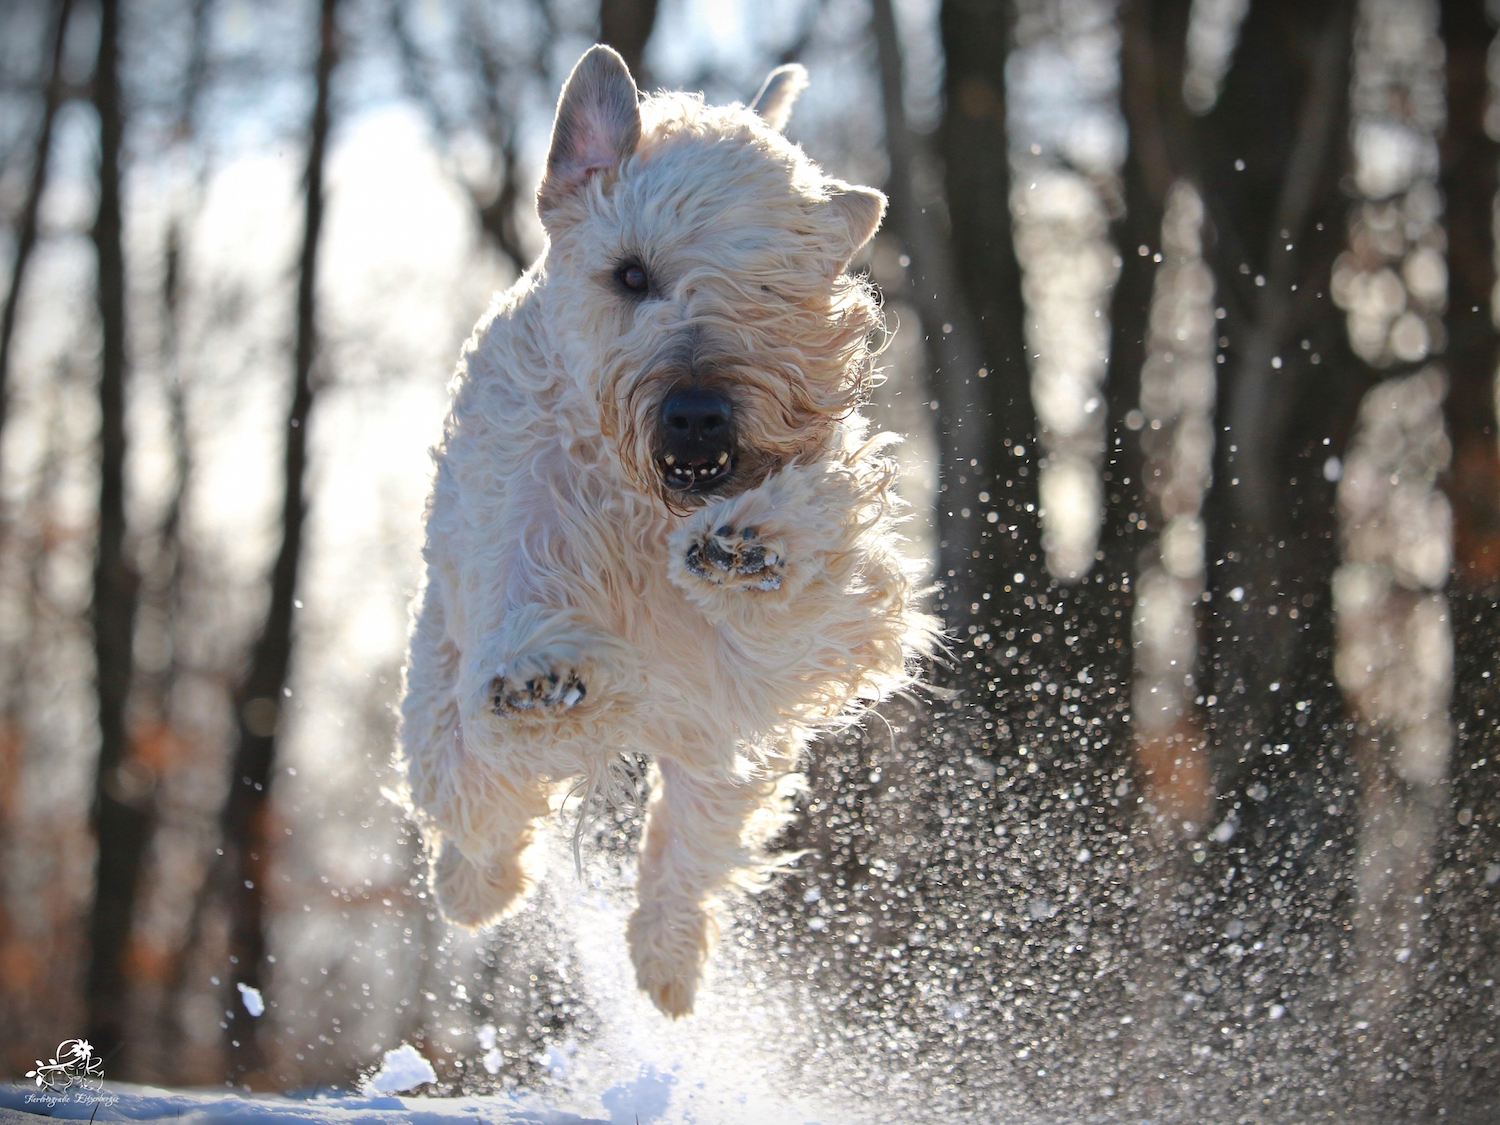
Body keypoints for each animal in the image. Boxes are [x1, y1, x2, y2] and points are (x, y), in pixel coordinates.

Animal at [399, 44, 936, 1020]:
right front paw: (542, 680)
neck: (640, 507)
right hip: (438, 676)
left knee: (691, 846)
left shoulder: (764, 670)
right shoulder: (516, 556)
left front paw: (752, 544)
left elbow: (809, 583)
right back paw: (476, 885)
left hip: (717, 751)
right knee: (469, 790)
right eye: (630, 274)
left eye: (772, 286)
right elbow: (509, 706)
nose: (697, 416)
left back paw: (666, 959)